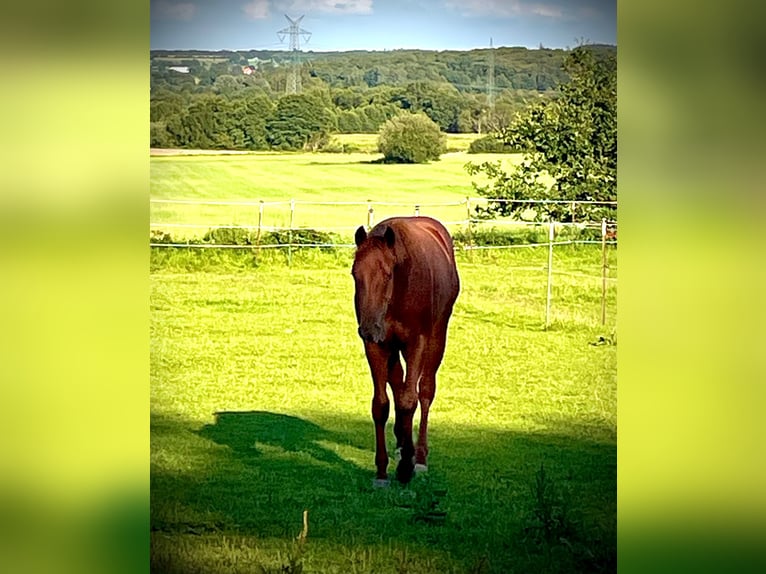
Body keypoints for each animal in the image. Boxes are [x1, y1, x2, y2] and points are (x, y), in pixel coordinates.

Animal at [354, 216, 462, 486]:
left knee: (424, 391)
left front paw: (406, 467)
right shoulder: (377, 345)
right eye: (354, 274)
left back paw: (419, 457)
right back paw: (403, 444)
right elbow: (381, 404)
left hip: (436, 338)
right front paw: (382, 472)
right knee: (398, 383)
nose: (368, 328)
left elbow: (409, 400)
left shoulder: (416, 343)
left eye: (387, 274)